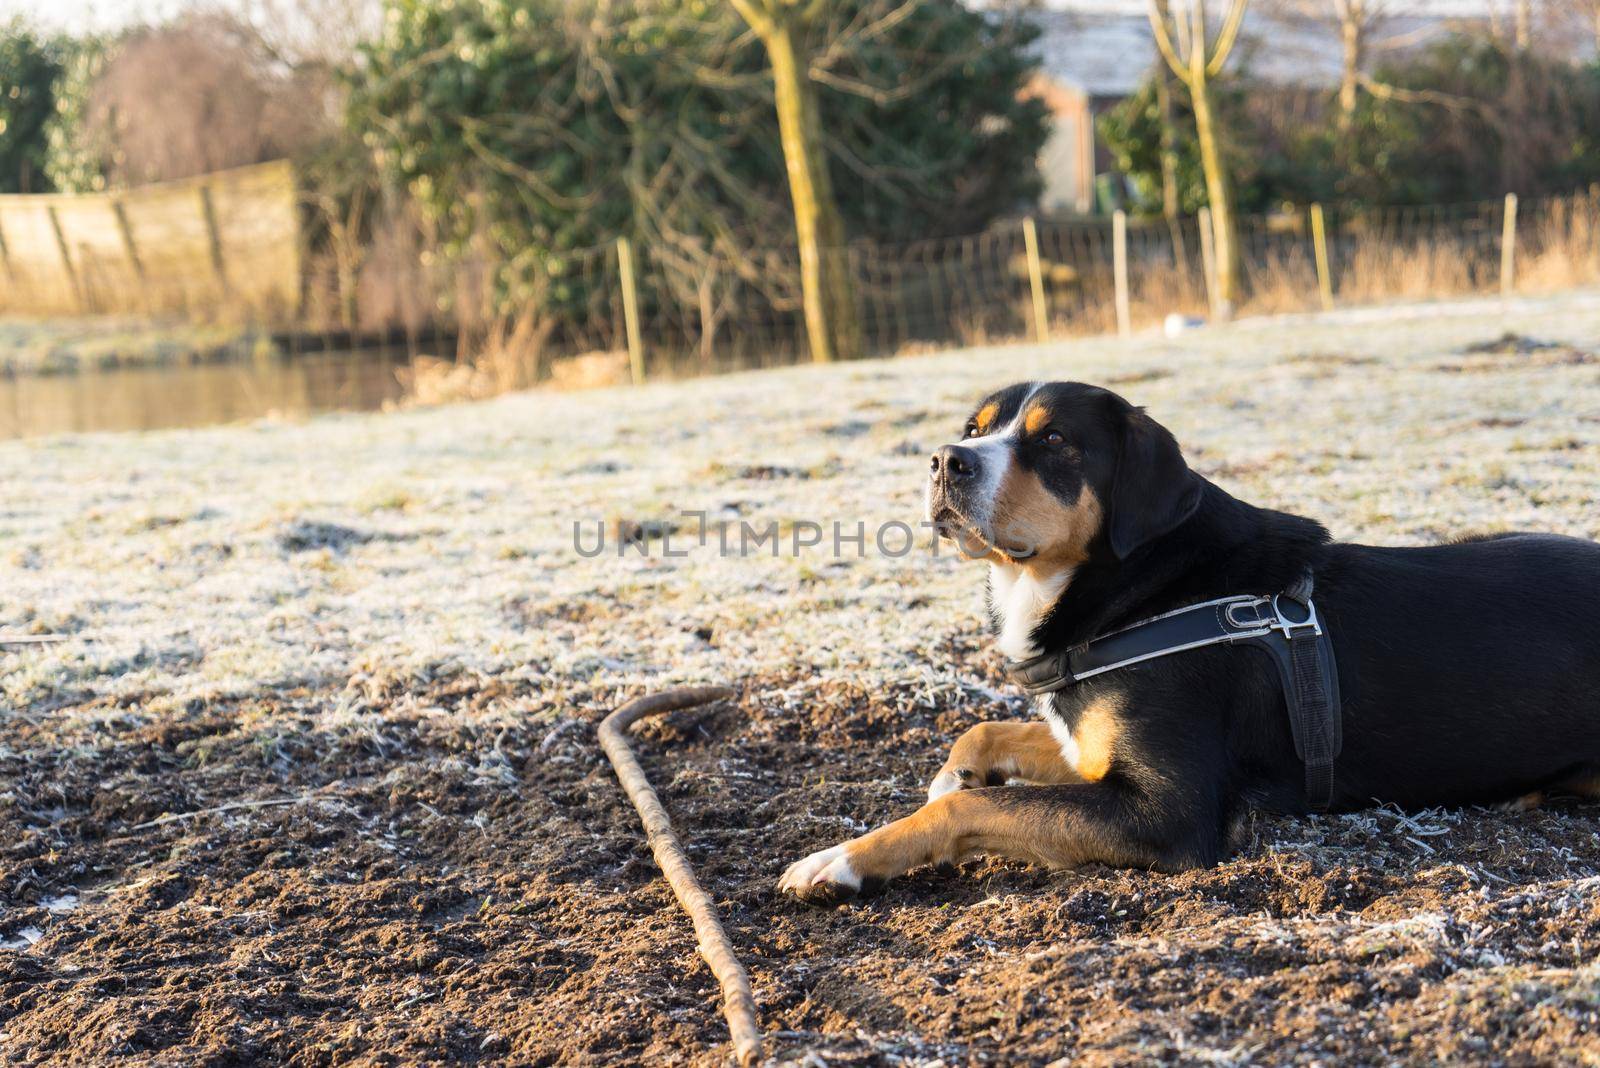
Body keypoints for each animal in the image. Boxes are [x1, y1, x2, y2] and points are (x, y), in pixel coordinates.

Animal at [777, 378, 1600, 908]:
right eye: (977, 429)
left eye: (1054, 440)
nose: (948, 460)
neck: (1141, 582)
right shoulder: (1091, 745)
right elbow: (983, 734)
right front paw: (957, 774)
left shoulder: (1166, 811)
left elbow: (965, 813)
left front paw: (840, 861)